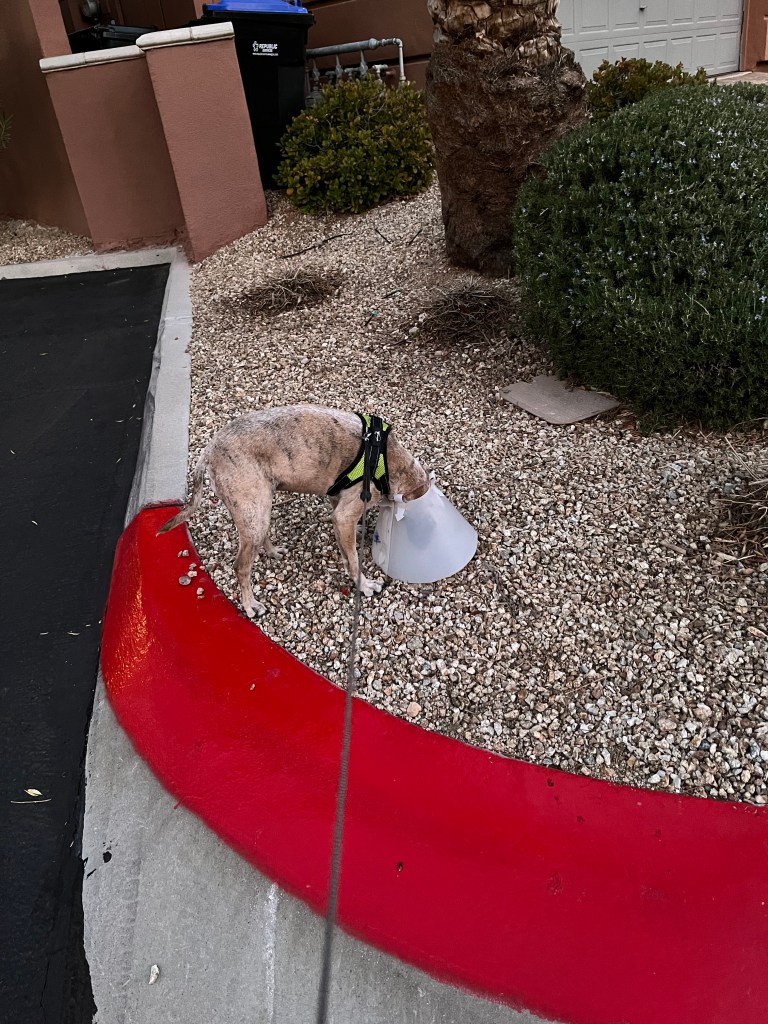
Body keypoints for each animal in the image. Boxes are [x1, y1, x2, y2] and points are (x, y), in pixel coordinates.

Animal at [159, 405, 429, 618]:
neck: (387, 460)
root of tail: (209, 450)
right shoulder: (345, 515)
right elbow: (354, 559)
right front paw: (363, 584)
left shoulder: (338, 503)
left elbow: (346, 549)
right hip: (253, 512)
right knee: (241, 566)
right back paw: (250, 605)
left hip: (259, 509)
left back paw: (272, 551)